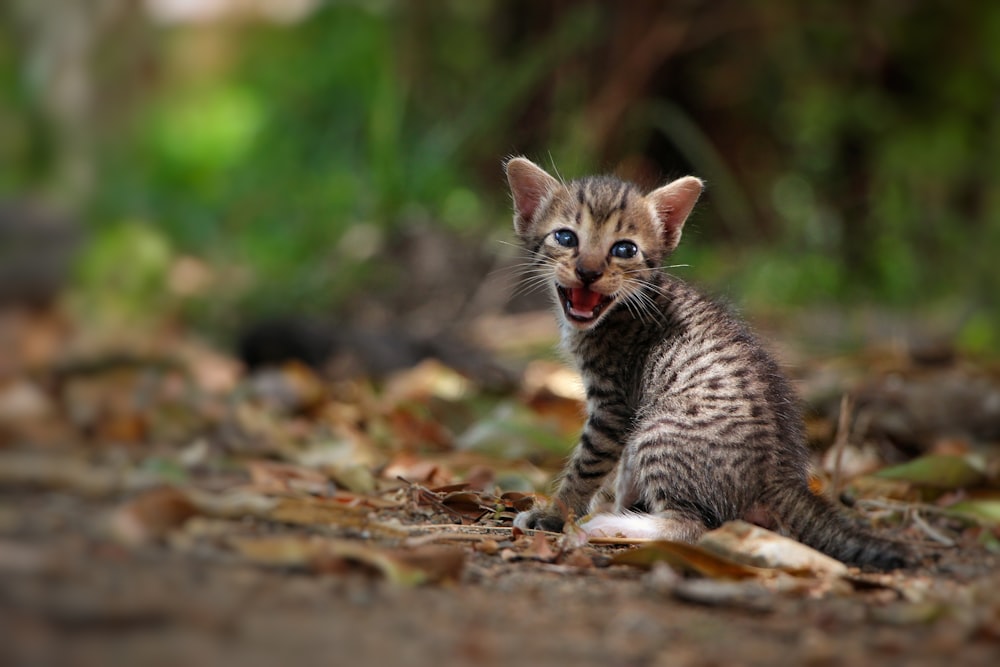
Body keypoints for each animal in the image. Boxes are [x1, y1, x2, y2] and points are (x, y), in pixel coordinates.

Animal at [512, 155, 912, 568]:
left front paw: (554, 514)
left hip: (658, 430)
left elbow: (586, 466)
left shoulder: (613, 404)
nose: (588, 272)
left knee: (691, 526)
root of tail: (781, 474)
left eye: (624, 250)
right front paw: (611, 501)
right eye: (566, 238)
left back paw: (609, 525)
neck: (626, 307)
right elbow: (621, 473)